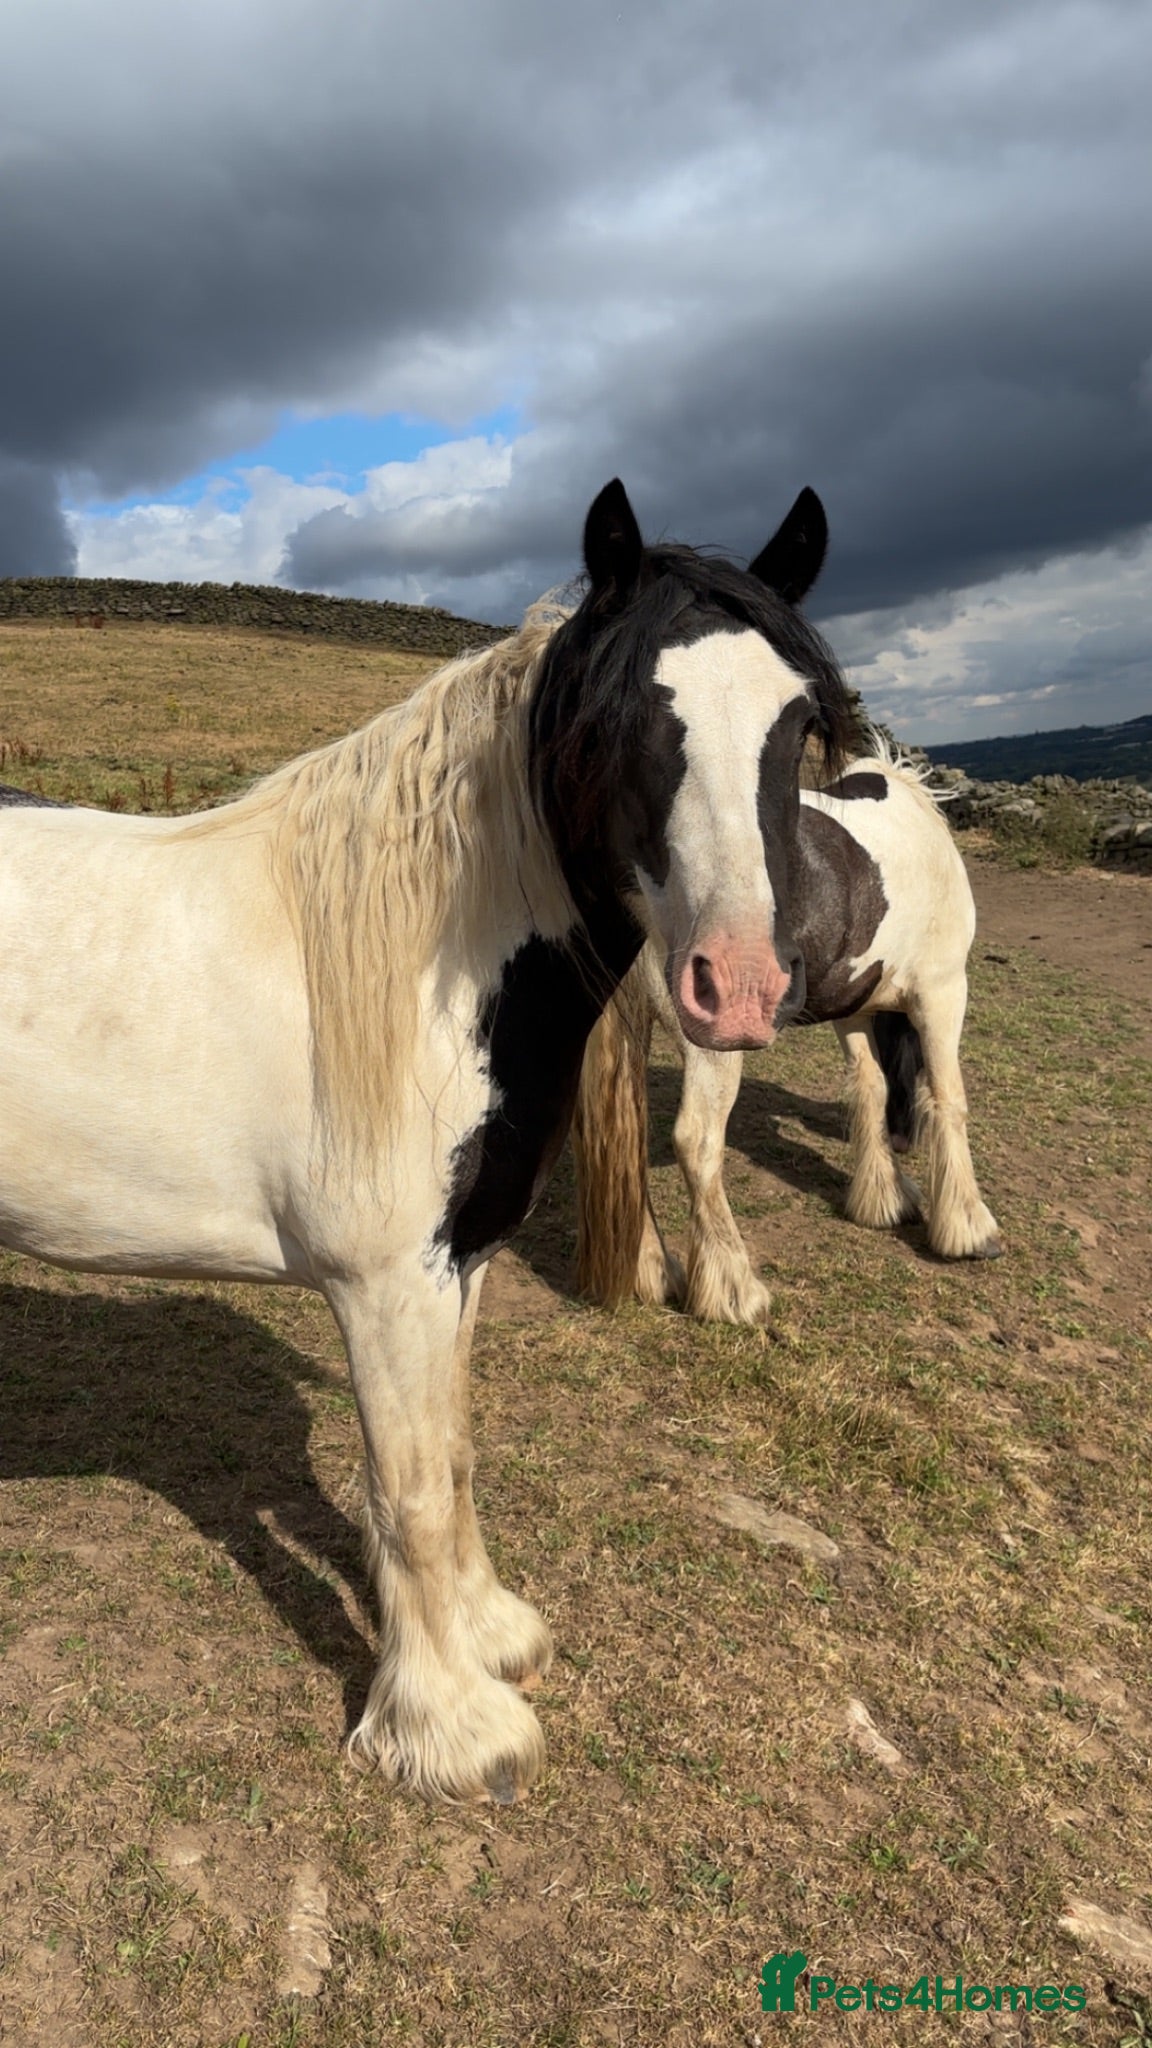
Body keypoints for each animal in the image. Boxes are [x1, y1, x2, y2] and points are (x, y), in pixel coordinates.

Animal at [0, 477, 857, 1803]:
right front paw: (450, 1725)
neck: (428, 978)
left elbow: (449, 1462)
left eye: (799, 721)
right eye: (624, 718)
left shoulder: (464, 1262)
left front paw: (492, 1632)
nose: (744, 984)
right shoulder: (386, 1286)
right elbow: (405, 1489)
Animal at [572, 744, 1001, 1325]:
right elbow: (948, 1098)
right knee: (696, 1141)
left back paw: (653, 1272)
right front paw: (968, 1227)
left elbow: (871, 1087)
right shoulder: (942, 993)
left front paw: (883, 1199)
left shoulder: (853, 1008)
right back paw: (732, 1289)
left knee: (620, 1138)